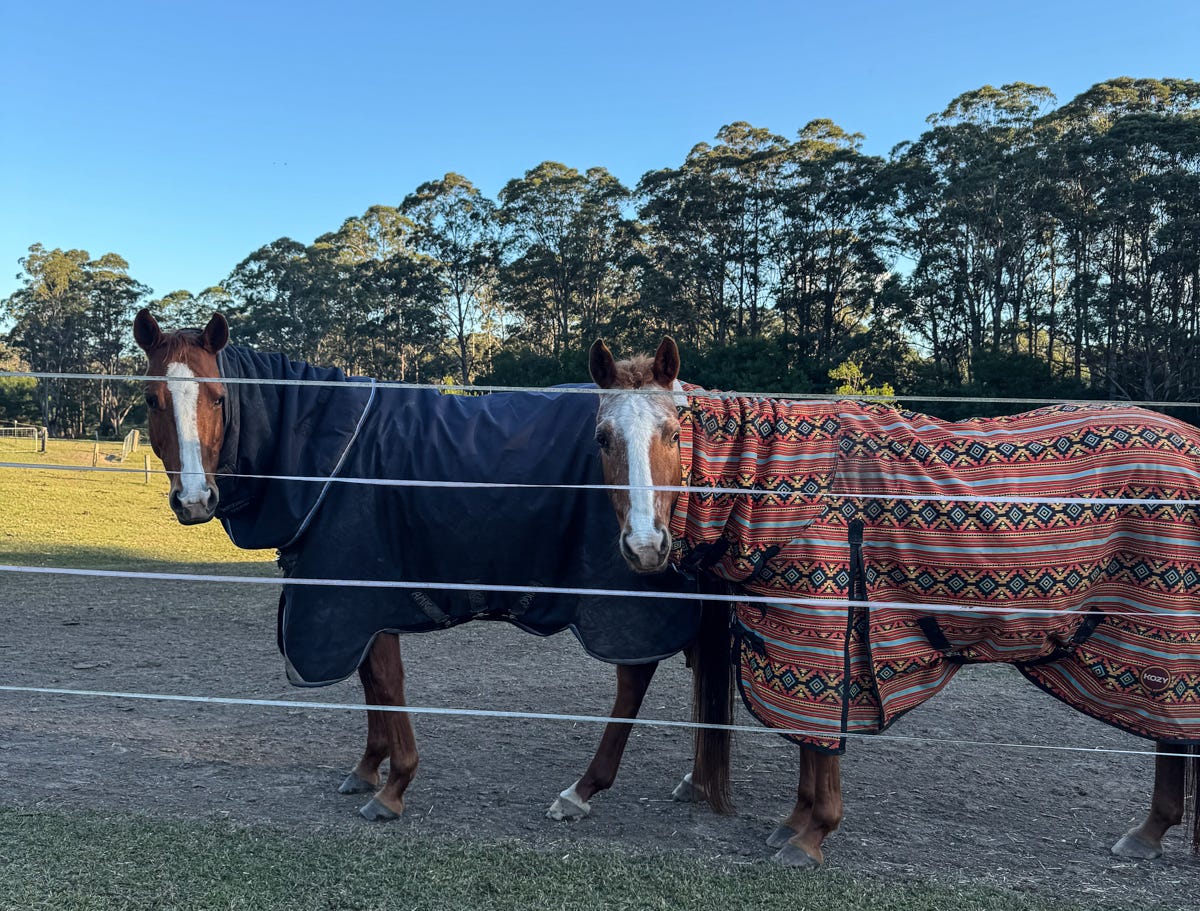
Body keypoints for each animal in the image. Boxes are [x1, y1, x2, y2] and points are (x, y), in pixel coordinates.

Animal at [132, 307, 705, 823]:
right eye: (151, 399)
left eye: (218, 396)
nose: (194, 498)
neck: (329, 456)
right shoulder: (353, 605)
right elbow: (370, 683)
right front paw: (369, 767)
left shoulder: (359, 593)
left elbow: (386, 684)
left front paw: (394, 786)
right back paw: (694, 780)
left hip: (626, 592)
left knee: (635, 675)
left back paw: (583, 790)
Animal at [587, 335, 1200, 868]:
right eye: (602, 438)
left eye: (672, 433)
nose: (645, 546)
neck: (795, 489)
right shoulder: (795, 636)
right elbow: (811, 742)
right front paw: (795, 822)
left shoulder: (825, 625)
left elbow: (822, 744)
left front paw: (811, 835)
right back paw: (1150, 831)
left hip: (1166, 638)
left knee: (1171, 730)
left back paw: (1150, 829)